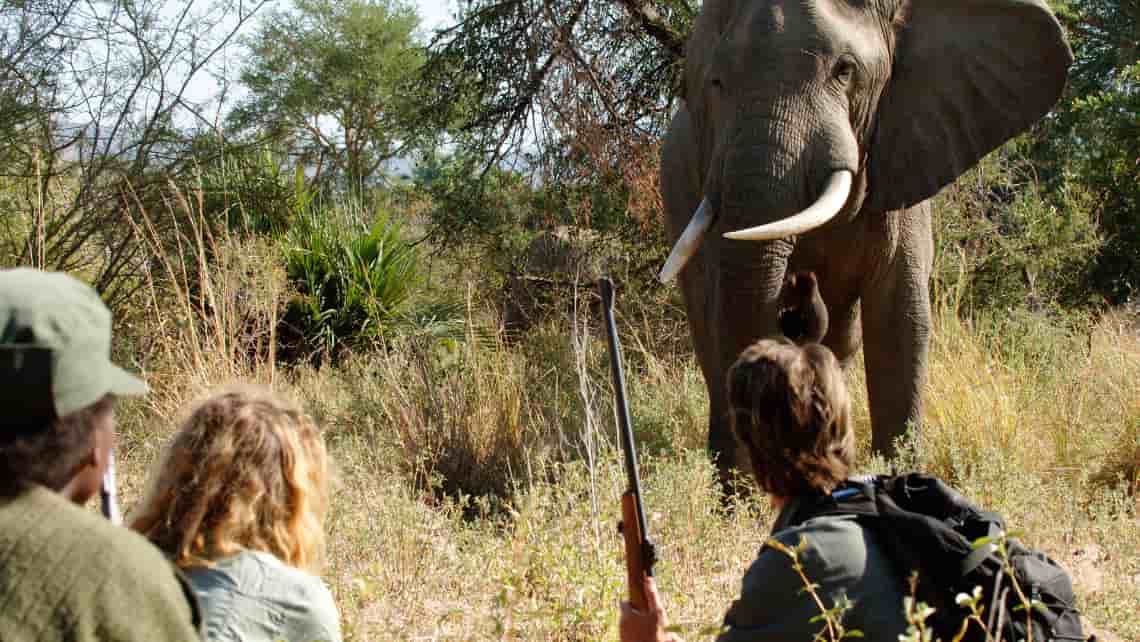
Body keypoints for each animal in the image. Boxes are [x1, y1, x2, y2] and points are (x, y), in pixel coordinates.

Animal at [661, 0, 1067, 478]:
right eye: (716, 83)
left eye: (845, 70)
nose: (801, 289)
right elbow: (725, 311)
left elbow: (899, 319)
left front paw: (901, 476)